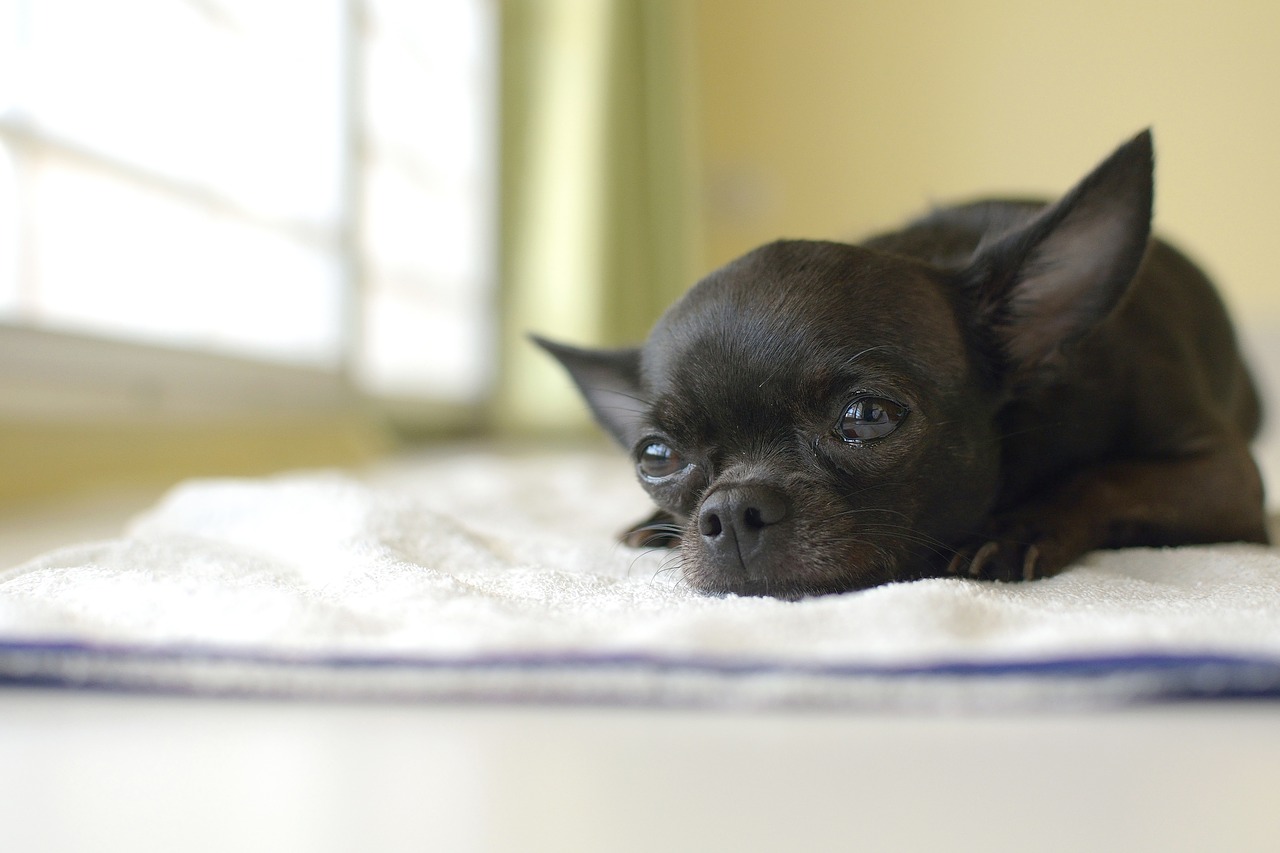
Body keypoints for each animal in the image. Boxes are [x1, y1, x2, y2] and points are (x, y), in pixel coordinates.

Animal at [532, 131, 1269, 596]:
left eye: (867, 417)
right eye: (655, 456)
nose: (731, 511)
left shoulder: (1226, 476)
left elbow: (1103, 477)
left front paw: (1018, 526)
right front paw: (650, 524)